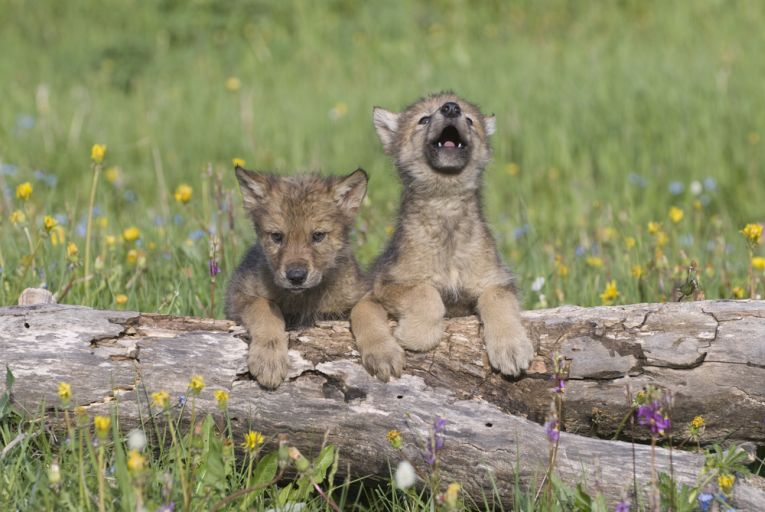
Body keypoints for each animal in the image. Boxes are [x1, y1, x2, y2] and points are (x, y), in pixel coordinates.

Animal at [225, 166, 369, 389]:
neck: (303, 299)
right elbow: (264, 307)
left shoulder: (357, 294)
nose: (296, 276)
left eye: (318, 235)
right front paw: (269, 359)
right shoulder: (239, 294)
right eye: (277, 236)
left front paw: (384, 353)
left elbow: (366, 308)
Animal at [350, 92, 535, 381]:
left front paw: (512, 348)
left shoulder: (497, 280)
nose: (450, 108)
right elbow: (426, 293)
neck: (446, 206)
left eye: (469, 120)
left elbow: (499, 302)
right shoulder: (390, 283)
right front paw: (417, 335)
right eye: (424, 119)